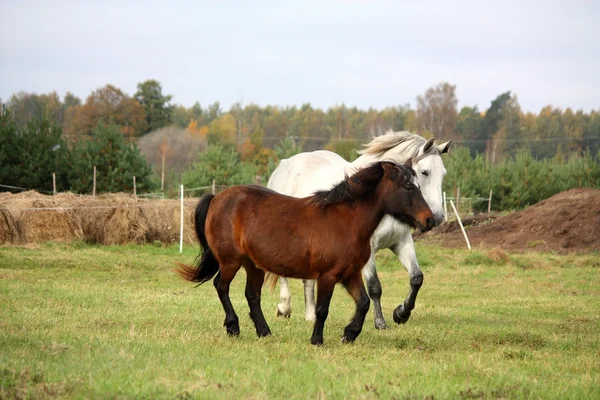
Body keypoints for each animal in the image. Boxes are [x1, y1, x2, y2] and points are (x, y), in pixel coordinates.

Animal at [176, 159, 434, 344]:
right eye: (408, 186)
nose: (430, 219)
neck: (346, 221)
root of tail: (217, 198)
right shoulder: (328, 276)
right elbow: (322, 309)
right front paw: (317, 339)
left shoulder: (350, 274)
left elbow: (363, 303)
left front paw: (349, 334)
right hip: (230, 261)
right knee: (221, 286)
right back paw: (233, 326)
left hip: (254, 264)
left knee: (252, 295)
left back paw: (265, 332)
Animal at [268, 130, 450, 328]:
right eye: (424, 172)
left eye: (444, 174)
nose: (436, 218)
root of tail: (284, 164)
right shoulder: (367, 248)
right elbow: (374, 286)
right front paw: (380, 323)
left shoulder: (402, 242)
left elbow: (416, 278)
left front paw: (401, 314)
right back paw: (284, 308)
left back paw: (311, 315)